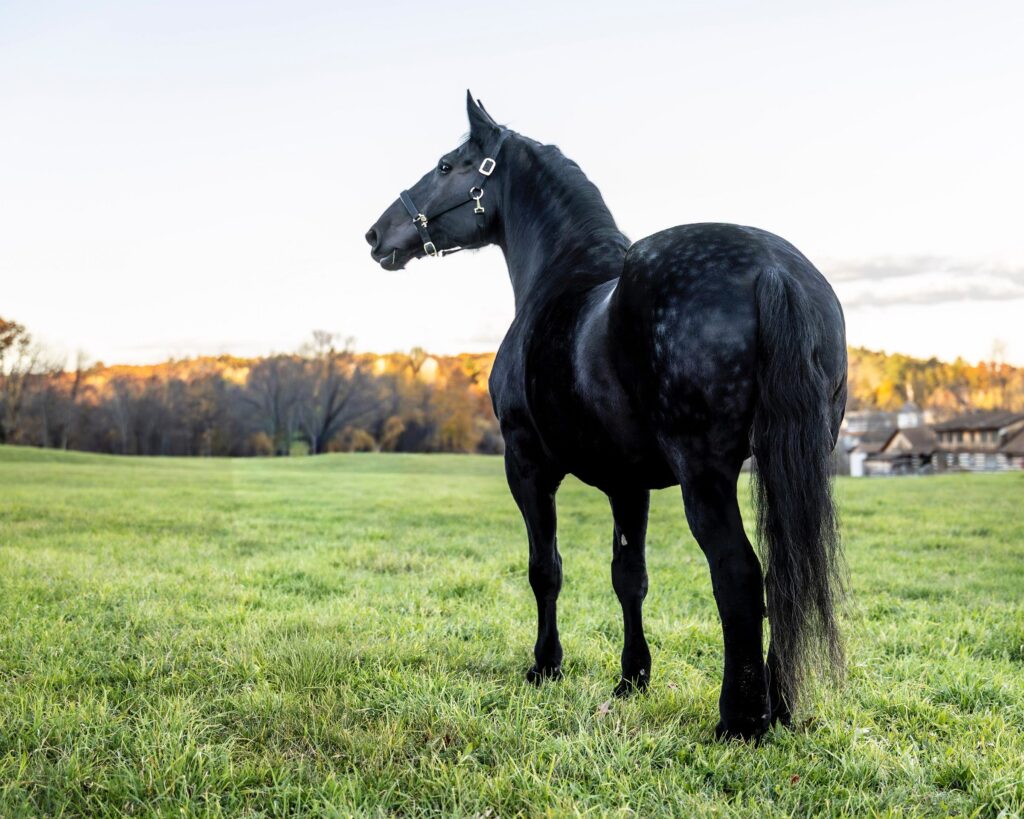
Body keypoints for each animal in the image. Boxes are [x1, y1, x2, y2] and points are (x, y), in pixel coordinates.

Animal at [366, 92, 847, 741]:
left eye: (447, 165)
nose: (376, 233)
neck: (562, 276)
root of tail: (772, 269)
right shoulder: (628, 484)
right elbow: (629, 577)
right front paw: (631, 678)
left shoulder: (527, 467)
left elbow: (545, 569)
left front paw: (546, 666)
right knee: (783, 572)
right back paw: (783, 707)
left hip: (704, 475)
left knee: (739, 575)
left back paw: (740, 721)